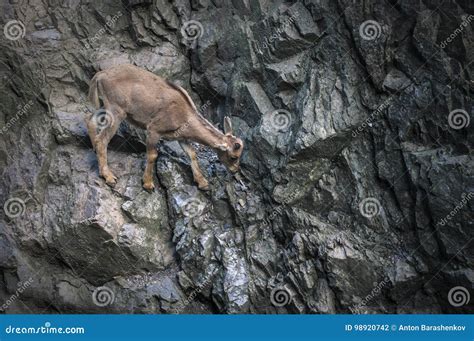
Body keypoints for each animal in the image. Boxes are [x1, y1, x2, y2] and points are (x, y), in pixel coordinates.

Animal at [84, 63, 244, 191]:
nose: (235, 170)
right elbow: (153, 155)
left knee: (89, 118)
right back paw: (109, 176)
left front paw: (203, 182)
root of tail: (99, 76)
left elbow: (192, 154)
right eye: (233, 157)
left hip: (105, 106)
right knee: (102, 139)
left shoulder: (181, 137)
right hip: (116, 110)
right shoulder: (154, 129)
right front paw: (148, 184)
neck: (185, 116)